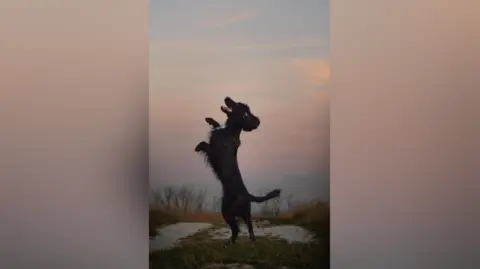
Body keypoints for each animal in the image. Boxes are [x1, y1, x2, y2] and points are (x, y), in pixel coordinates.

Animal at [195, 96, 282, 245]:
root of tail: (248, 195)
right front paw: (210, 119)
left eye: (236, 104)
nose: (227, 98)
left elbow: (204, 144)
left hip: (226, 211)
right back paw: (251, 241)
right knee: (250, 227)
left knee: (236, 229)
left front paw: (198, 146)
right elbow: (216, 124)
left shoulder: (213, 151)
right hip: (246, 214)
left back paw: (228, 243)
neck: (230, 130)